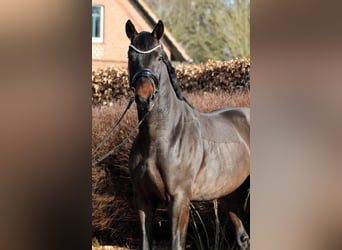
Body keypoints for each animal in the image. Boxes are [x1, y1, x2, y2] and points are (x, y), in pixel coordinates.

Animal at [124, 20, 250, 250]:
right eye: (131, 55)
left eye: (159, 57)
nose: (145, 96)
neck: (160, 139)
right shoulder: (144, 200)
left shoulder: (179, 199)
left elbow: (177, 243)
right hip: (232, 195)